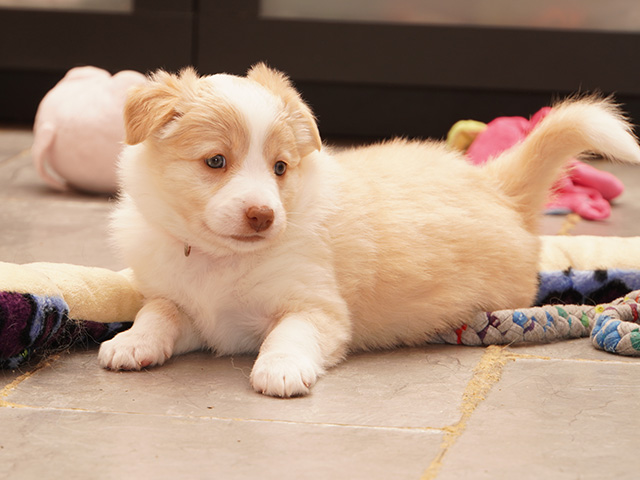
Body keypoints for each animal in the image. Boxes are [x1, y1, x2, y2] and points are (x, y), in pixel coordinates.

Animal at [98, 64, 640, 397]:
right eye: (215, 161)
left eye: (280, 167)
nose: (262, 216)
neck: (222, 258)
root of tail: (495, 184)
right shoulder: (189, 306)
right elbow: (158, 311)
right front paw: (131, 343)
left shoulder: (316, 308)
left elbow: (289, 332)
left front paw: (280, 368)